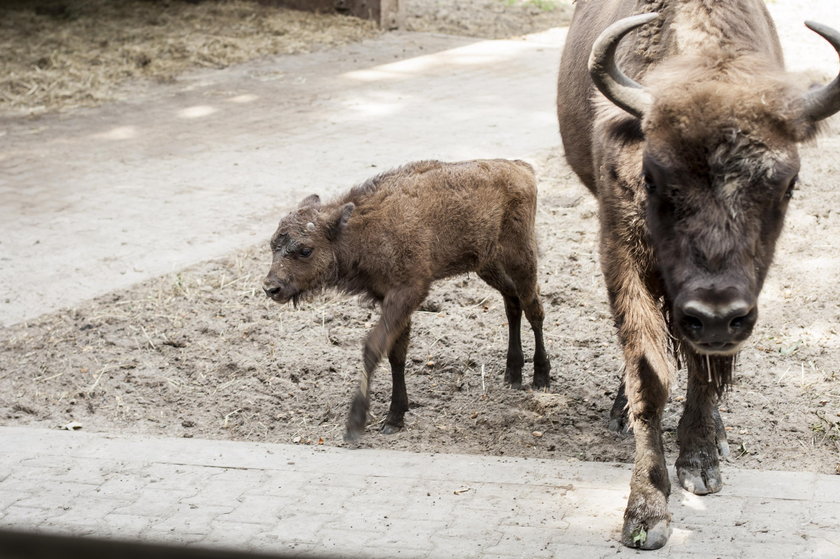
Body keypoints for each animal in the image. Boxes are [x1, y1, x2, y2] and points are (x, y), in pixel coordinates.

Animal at [262, 161, 552, 442]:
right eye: (273, 244)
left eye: (305, 250)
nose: (271, 288)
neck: (360, 228)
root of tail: (522, 168)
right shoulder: (389, 299)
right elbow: (395, 354)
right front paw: (395, 417)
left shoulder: (407, 292)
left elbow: (373, 347)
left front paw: (356, 423)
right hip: (487, 265)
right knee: (513, 302)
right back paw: (513, 374)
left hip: (521, 257)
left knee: (533, 308)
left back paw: (541, 376)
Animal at [556, 0, 840, 552]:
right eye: (653, 176)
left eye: (787, 184)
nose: (713, 316)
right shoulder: (621, 255)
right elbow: (649, 375)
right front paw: (646, 513)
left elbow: (706, 370)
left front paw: (701, 463)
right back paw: (620, 413)